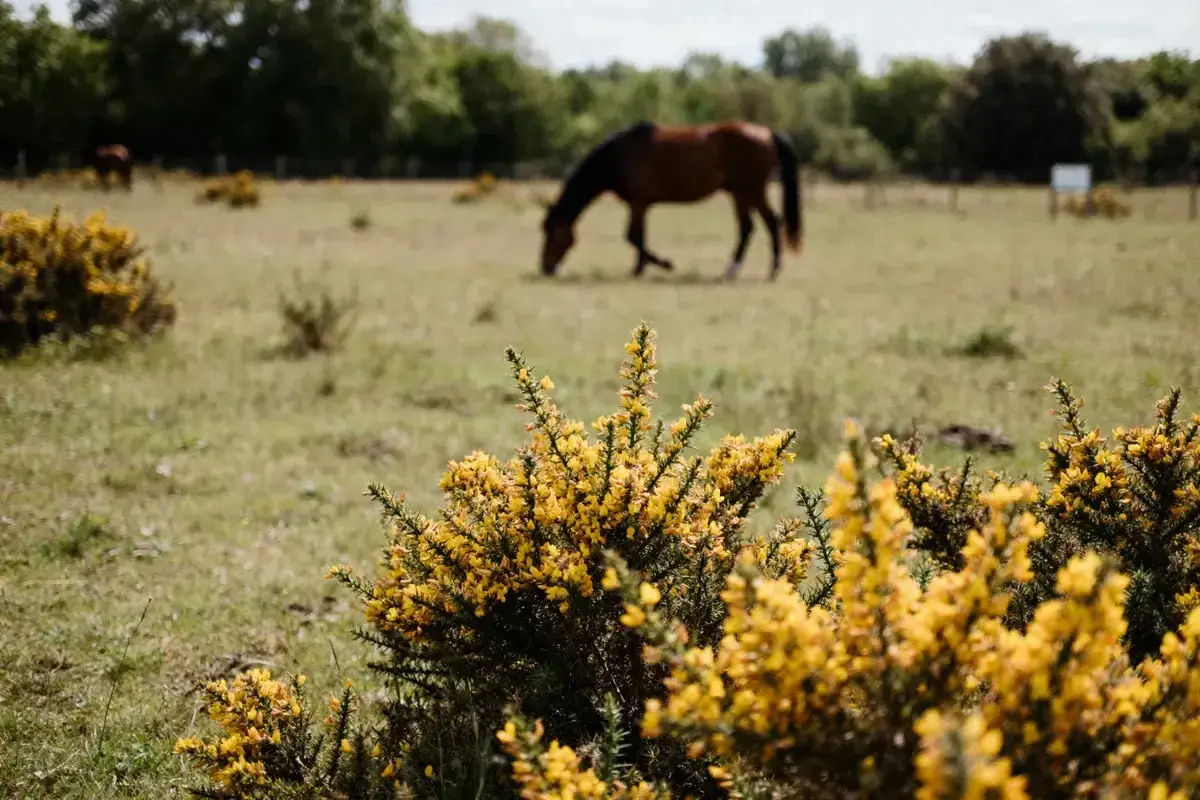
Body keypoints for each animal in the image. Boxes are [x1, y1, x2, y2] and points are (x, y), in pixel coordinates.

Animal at [538, 120, 803, 281]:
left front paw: (663, 264)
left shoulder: (637, 203)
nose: (546, 268)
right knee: (753, 227)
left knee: (766, 224)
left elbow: (632, 237)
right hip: (742, 194)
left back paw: (756, 269)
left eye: (552, 233)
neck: (619, 157)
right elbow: (638, 236)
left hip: (750, 191)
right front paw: (640, 268)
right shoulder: (641, 205)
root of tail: (768, 134)